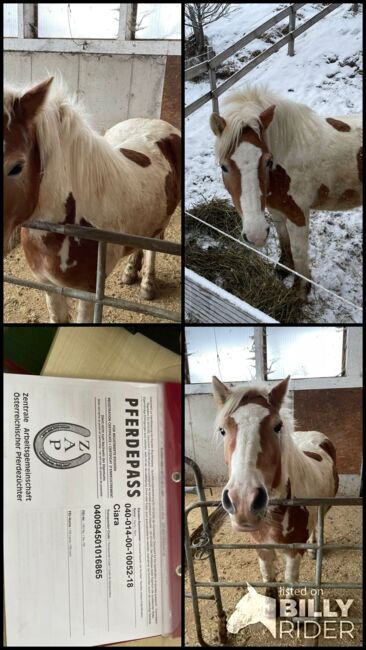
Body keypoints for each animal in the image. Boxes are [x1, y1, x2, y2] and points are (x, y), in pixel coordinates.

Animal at [2, 78, 180, 322]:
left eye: (17, 167)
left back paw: (147, 285)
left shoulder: (88, 292)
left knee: (153, 243)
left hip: (164, 219)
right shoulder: (47, 284)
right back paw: (130, 272)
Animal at [210, 85, 362, 296]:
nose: (256, 235)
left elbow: (299, 253)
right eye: (224, 167)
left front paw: (300, 291)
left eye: (268, 160)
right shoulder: (276, 209)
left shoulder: (297, 215)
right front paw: (283, 268)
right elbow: (283, 239)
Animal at [213, 374, 338, 604]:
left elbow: (290, 582)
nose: (243, 502)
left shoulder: (293, 551)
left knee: (317, 525)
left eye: (277, 426)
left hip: (324, 508)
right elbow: (269, 579)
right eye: (223, 430)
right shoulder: (261, 547)